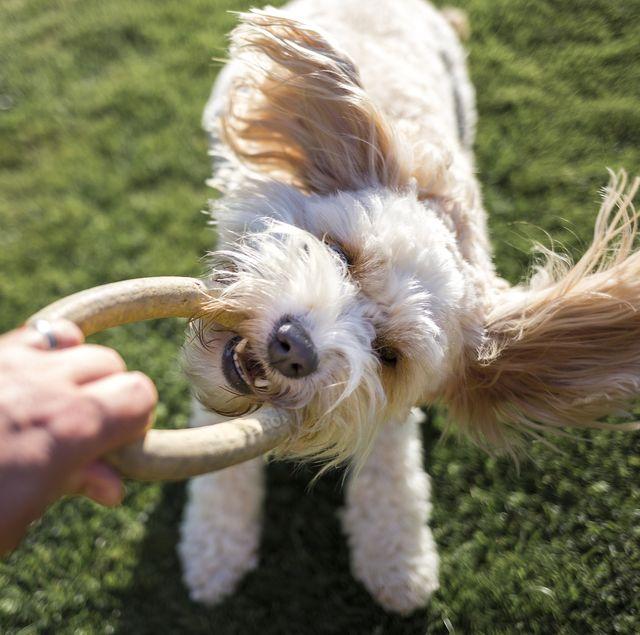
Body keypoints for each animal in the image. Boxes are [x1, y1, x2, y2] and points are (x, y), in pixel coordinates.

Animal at [178, 0, 640, 616]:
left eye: (388, 353)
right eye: (340, 253)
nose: (293, 347)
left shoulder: (391, 413)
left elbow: (391, 480)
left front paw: (399, 563)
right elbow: (219, 469)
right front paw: (215, 549)